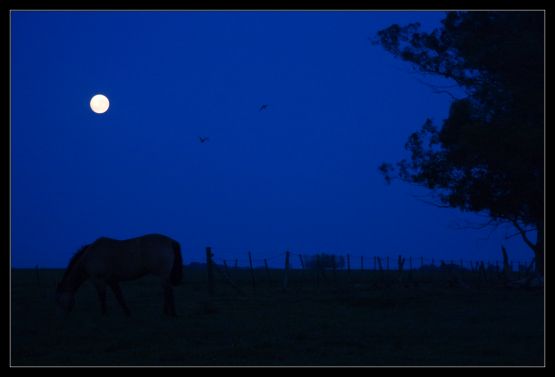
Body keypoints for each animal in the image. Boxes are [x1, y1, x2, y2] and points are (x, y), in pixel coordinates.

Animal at [55, 234, 184, 316]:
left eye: (58, 301)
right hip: (164, 275)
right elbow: (119, 296)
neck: (89, 257)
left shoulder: (98, 280)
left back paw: (171, 313)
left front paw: (104, 314)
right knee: (166, 291)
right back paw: (166, 312)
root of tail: (170, 241)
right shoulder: (112, 280)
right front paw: (127, 313)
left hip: (163, 275)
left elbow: (102, 297)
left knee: (168, 291)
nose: (64, 315)